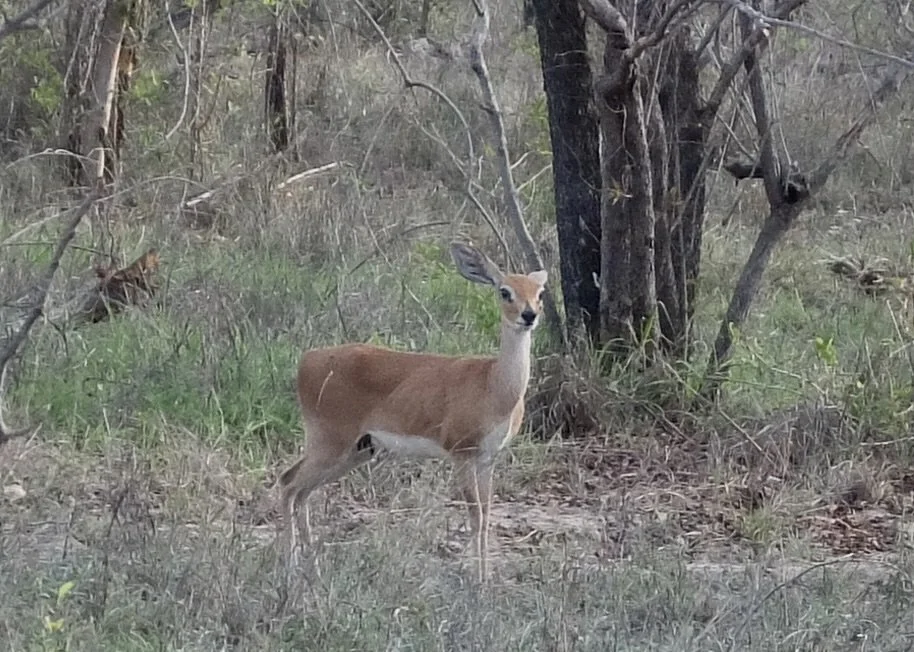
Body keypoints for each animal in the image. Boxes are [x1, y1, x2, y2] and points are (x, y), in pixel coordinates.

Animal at [278, 243, 547, 581]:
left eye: (540, 292)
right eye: (505, 291)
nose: (529, 315)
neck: (493, 386)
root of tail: (306, 360)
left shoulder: (488, 458)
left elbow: (486, 515)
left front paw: (487, 578)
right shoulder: (461, 452)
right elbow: (474, 515)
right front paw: (477, 580)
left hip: (356, 449)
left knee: (301, 490)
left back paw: (312, 569)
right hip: (330, 441)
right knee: (288, 483)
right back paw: (290, 568)